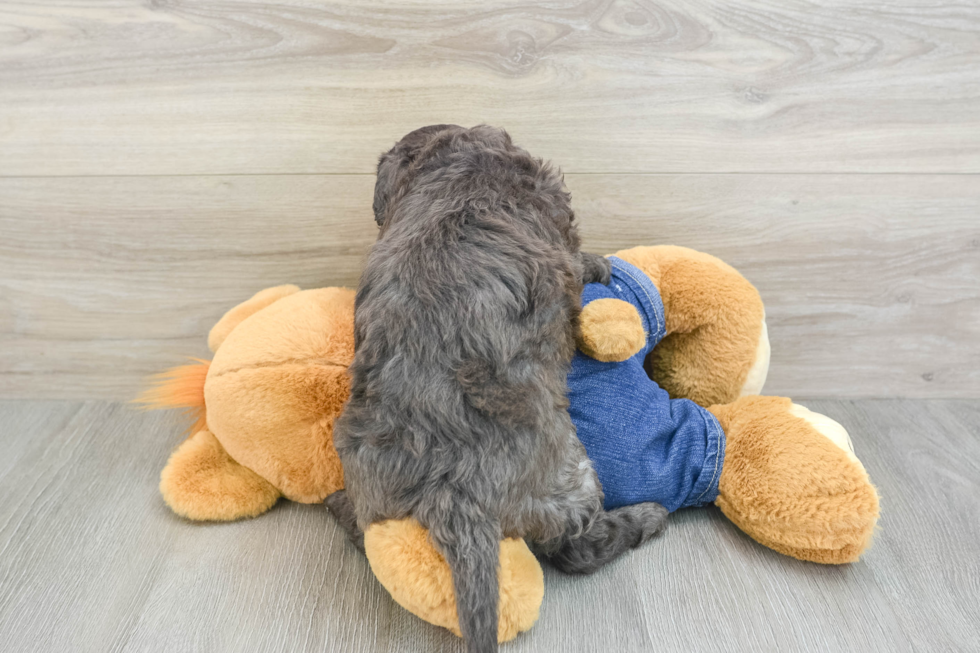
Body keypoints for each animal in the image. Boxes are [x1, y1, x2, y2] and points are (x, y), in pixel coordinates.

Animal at [330, 126, 668, 652]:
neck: (463, 160)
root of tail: (452, 496)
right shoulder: (559, 226)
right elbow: (578, 256)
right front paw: (599, 264)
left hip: (373, 489)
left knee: (365, 534)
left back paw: (337, 506)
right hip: (572, 478)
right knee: (578, 551)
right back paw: (647, 517)